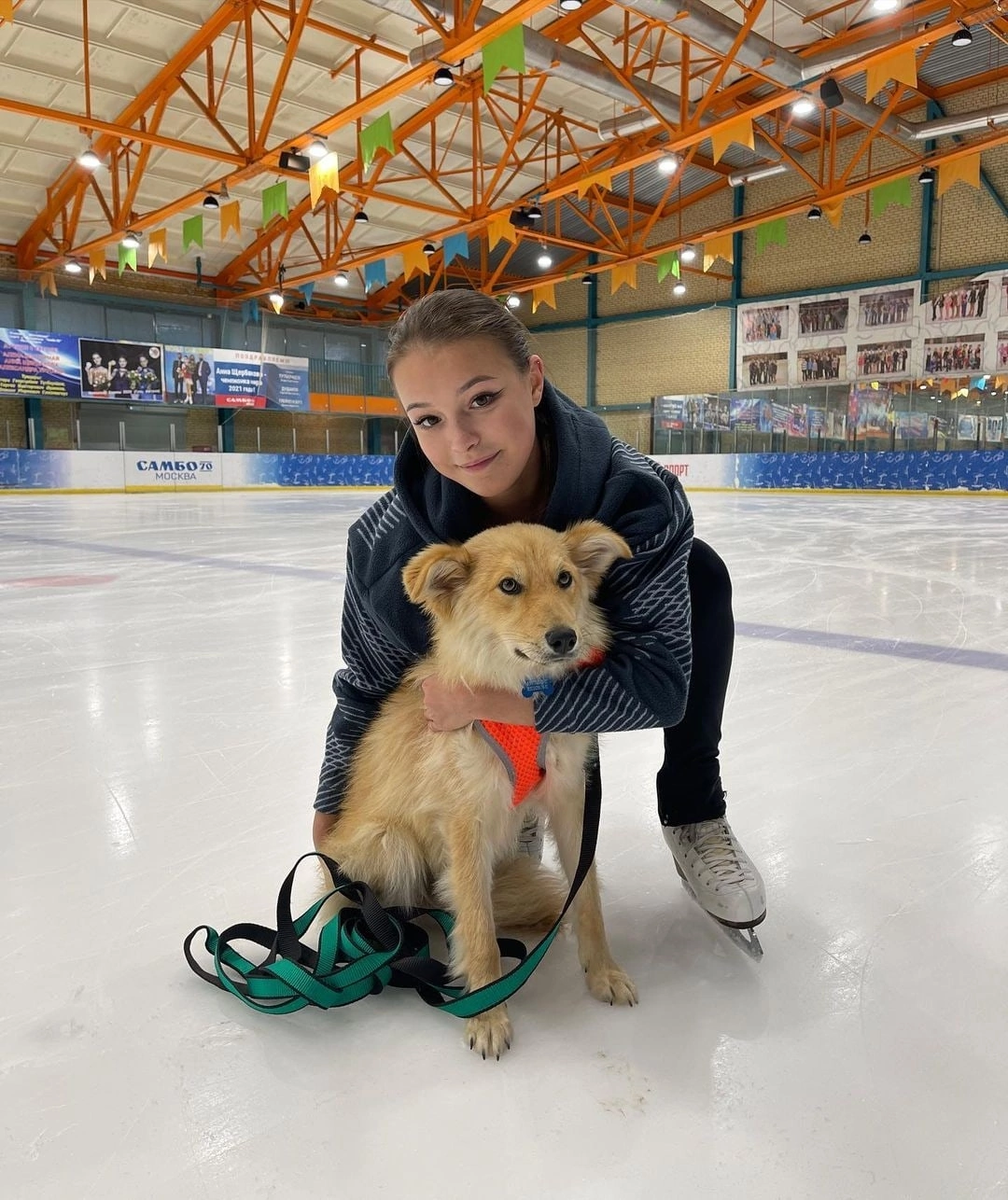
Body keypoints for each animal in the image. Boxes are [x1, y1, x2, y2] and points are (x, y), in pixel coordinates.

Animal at [319, 520, 638, 1056]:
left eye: (566, 578)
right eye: (509, 586)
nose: (565, 638)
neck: (519, 698)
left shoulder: (572, 806)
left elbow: (588, 897)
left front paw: (603, 973)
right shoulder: (465, 821)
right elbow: (479, 927)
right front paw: (487, 1013)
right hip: (391, 844)